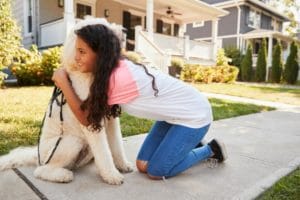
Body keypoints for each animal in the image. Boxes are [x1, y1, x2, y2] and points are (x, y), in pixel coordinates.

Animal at [0, 18, 132, 185]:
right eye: (104, 27)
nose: (125, 31)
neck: (92, 75)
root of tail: (38, 156)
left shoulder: (111, 120)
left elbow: (116, 145)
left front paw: (123, 165)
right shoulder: (91, 123)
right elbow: (104, 151)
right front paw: (112, 175)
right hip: (71, 142)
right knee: (41, 170)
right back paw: (63, 175)